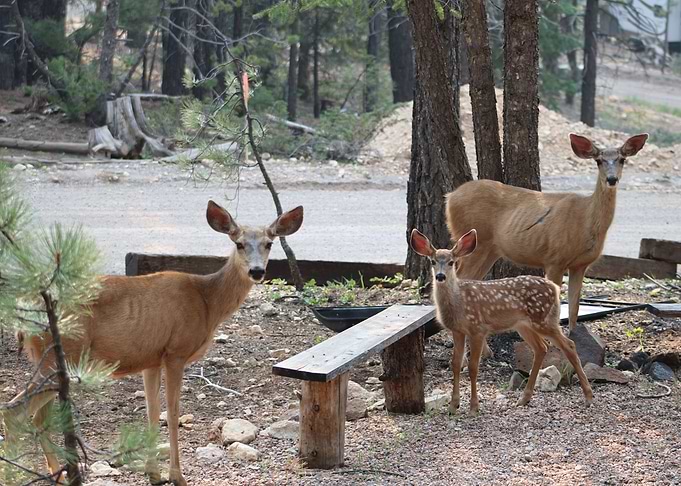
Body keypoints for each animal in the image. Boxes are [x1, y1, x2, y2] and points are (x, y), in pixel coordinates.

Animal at [2, 201, 304, 486]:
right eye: (239, 243)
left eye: (269, 243)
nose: (257, 271)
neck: (206, 301)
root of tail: (22, 322)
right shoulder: (176, 352)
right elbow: (172, 413)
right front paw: (177, 476)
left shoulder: (150, 359)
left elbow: (152, 412)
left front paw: (154, 474)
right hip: (62, 356)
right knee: (15, 412)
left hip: (51, 362)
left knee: (38, 417)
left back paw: (57, 475)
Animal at [410, 228, 593, 414]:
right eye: (433, 261)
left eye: (451, 262)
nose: (440, 276)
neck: (459, 302)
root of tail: (555, 288)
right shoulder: (458, 330)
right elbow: (456, 364)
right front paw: (453, 406)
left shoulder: (478, 328)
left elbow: (473, 367)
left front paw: (474, 407)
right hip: (524, 325)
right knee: (542, 347)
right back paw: (524, 399)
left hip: (543, 320)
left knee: (569, 344)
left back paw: (589, 396)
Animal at [446, 133, 648, 335]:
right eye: (598, 160)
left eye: (622, 159)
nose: (612, 179)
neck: (585, 220)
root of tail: (449, 197)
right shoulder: (554, 259)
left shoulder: (580, 265)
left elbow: (574, 308)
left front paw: (575, 335)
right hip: (474, 241)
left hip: (490, 250)